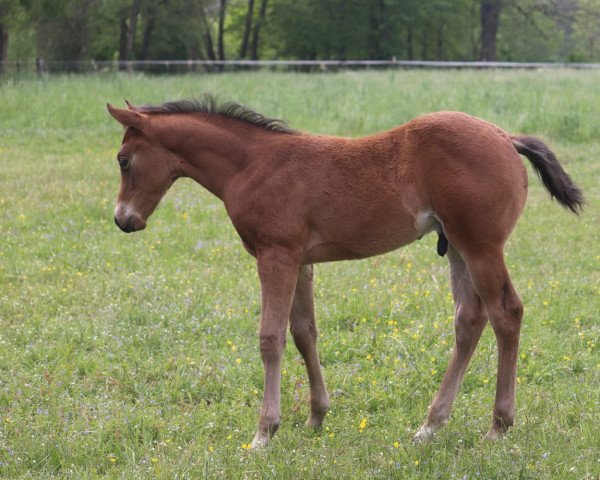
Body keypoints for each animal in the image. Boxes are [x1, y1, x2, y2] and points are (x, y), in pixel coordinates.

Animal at [106, 95, 580, 448]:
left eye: (123, 160)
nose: (123, 220)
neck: (252, 164)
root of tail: (506, 137)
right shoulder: (300, 261)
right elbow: (304, 333)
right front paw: (316, 417)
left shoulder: (275, 254)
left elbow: (270, 338)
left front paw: (264, 433)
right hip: (459, 247)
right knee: (469, 319)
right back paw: (429, 425)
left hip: (482, 247)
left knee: (506, 314)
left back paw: (498, 425)